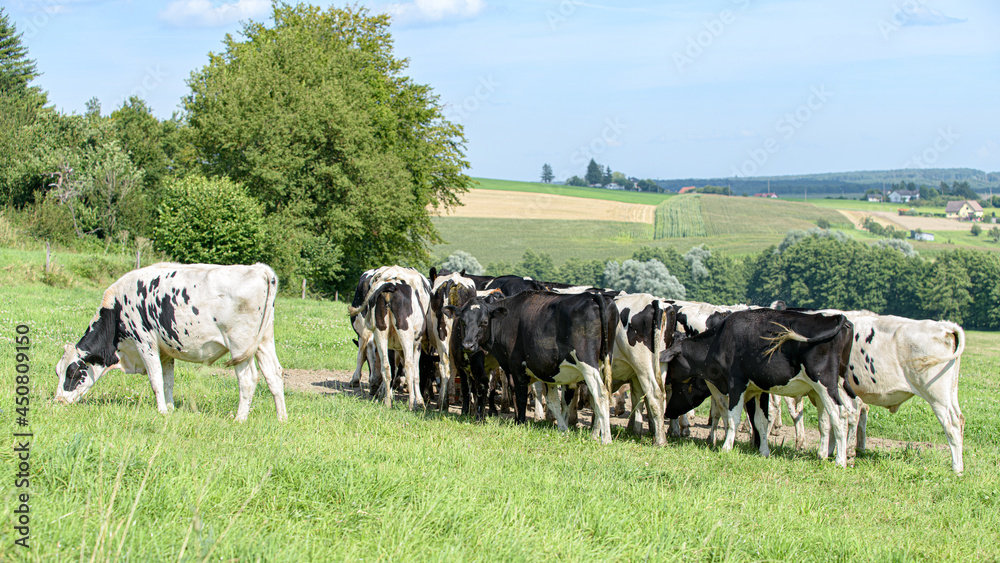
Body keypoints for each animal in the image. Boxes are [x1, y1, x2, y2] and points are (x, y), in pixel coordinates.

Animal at [56, 264, 286, 424]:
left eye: (73, 372)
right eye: (58, 371)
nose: (57, 401)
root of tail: (259, 269)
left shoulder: (144, 341)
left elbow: (155, 380)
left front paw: (162, 411)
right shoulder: (165, 351)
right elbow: (168, 382)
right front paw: (171, 408)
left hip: (240, 345)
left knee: (248, 379)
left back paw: (239, 418)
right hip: (264, 341)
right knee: (273, 375)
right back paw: (281, 418)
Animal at [348, 266, 430, 412]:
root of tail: (390, 283)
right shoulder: (416, 344)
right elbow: (415, 372)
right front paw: (419, 400)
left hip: (379, 332)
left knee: (381, 363)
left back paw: (385, 399)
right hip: (405, 333)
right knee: (408, 366)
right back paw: (411, 404)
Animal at [448, 290, 616, 446]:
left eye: (483, 322)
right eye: (462, 321)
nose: (467, 345)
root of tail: (592, 296)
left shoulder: (517, 368)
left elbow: (521, 397)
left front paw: (520, 423)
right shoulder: (548, 372)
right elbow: (553, 402)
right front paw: (563, 429)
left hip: (587, 365)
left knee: (601, 395)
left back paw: (606, 439)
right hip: (603, 362)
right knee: (596, 399)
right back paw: (595, 435)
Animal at [660, 308, 856, 468]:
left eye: (678, 389)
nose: (668, 412)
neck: (719, 340)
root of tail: (839, 318)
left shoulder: (736, 383)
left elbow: (733, 418)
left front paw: (727, 447)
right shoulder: (759, 389)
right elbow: (761, 420)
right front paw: (764, 451)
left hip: (824, 383)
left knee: (840, 415)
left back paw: (840, 461)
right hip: (833, 386)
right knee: (831, 418)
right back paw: (823, 455)